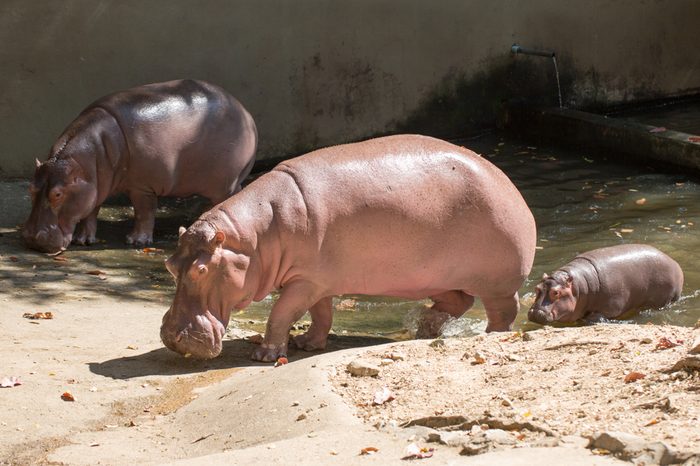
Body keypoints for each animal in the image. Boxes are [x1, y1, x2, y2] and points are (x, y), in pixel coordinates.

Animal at [21, 80, 258, 255]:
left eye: (57, 194)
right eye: (30, 188)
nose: (31, 237)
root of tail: (247, 114)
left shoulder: (142, 187)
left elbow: (144, 212)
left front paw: (135, 241)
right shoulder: (95, 186)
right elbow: (90, 212)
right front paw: (83, 240)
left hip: (224, 184)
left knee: (230, 198)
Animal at [161, 135, 540, 360]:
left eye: (201, 269)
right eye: (169, 265)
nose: (171, 337)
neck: (253, 239)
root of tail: (509, 185)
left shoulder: (305, 281)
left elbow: (282, 313)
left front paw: (265, 355)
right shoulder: (317, 280)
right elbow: (320, 313)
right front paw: (306, 344)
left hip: (497, 282)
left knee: (502, 311)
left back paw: (489, 334)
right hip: (438, 277)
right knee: (456, 302)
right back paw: (425, 328)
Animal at [528, 244, 680, 324]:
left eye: (556, 292)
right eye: (536, 288)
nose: (535, 312)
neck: (579, 287)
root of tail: (674, 263)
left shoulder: (611, 308)